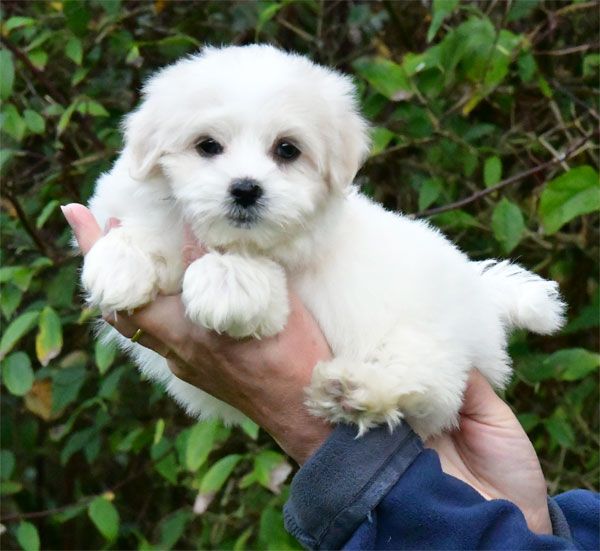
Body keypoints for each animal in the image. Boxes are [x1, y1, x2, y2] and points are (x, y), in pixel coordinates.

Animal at [82, 44, 564, 440]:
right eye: (207, 145)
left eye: (287, 149)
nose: (246, 189)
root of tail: (481, 290)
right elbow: (143, 228)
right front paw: (121, 262)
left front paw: (225, 279)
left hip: (428, 335)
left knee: (429, 385)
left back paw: (355, 390)